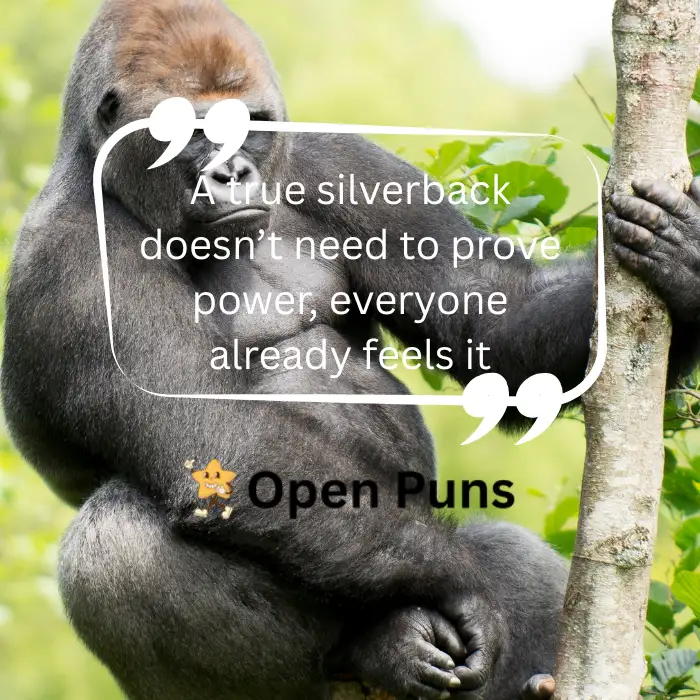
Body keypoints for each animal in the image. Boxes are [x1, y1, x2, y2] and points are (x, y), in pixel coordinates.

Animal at [3, 1, 700, 699]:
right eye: (191, 131)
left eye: (252, 127)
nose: (231, 173)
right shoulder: (69, 263)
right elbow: (220, 443)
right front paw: (465, 589)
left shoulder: (334, 158)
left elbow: (494, 326)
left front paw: (686, 264)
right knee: (116, 548)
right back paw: (379, 646)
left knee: (510, 549)